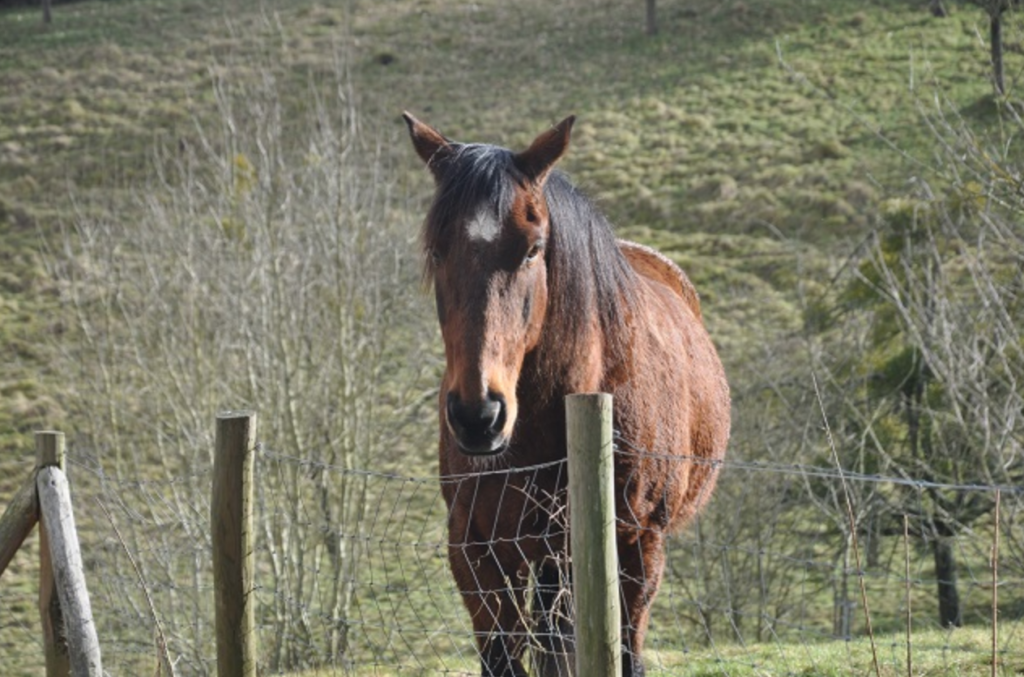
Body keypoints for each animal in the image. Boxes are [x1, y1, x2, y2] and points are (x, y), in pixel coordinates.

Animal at [403, 113, 733, 671]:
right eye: (437, 249)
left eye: (533, 248)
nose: (478, 416)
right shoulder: (475, 551)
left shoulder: (631, 545)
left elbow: (618, 651)